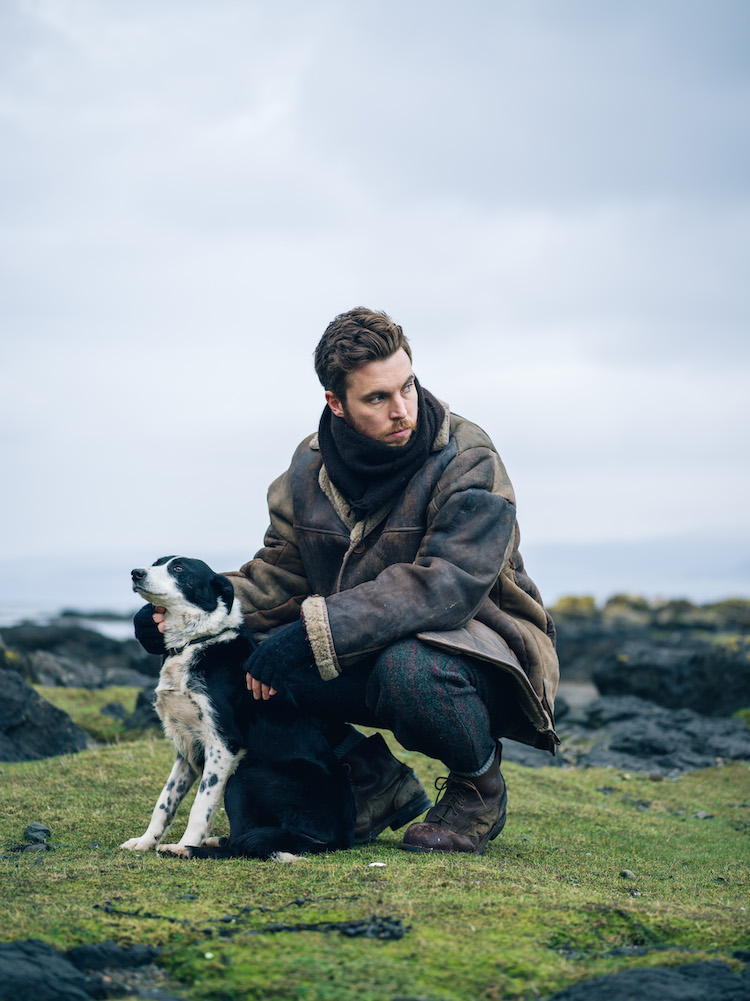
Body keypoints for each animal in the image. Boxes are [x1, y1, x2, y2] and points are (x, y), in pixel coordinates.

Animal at [121, 556, 356, 860]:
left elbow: (201, 805)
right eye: (156, 562)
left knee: (242, 844)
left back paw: (194, 849)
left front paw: (184, 844)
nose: (136, 573)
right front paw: (145, 841)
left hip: (244, 774)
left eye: (179, 568)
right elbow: (165, 801)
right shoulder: (186, 747)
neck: (196, 641)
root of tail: (340, 838)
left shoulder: (223, 744)